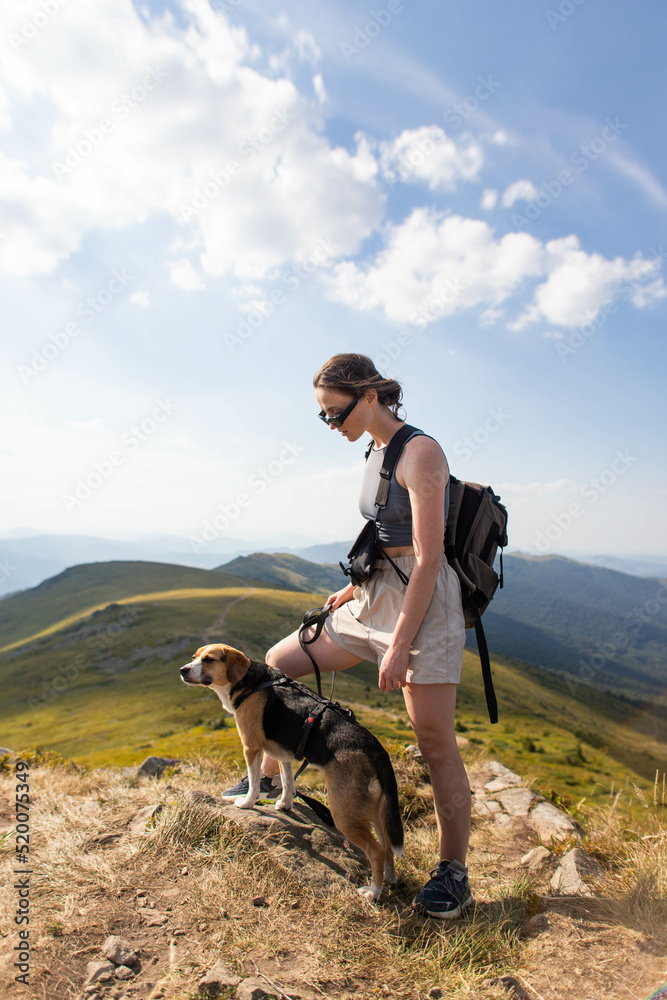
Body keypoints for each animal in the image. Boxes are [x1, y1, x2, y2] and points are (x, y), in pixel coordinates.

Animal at [180, 644, 404, 904]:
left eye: (209, 660)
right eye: (195, 657)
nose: (183, 670)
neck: (250, 681)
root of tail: (377, 750)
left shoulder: (251, 746)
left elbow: (254, 781)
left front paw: (247, 802)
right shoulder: (284, 755)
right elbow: (287, 782)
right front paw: (285, 805)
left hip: (344, 813)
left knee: (376, 852)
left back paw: (373, 892)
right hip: (378, 812)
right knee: (388, 847)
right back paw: (390, 879)